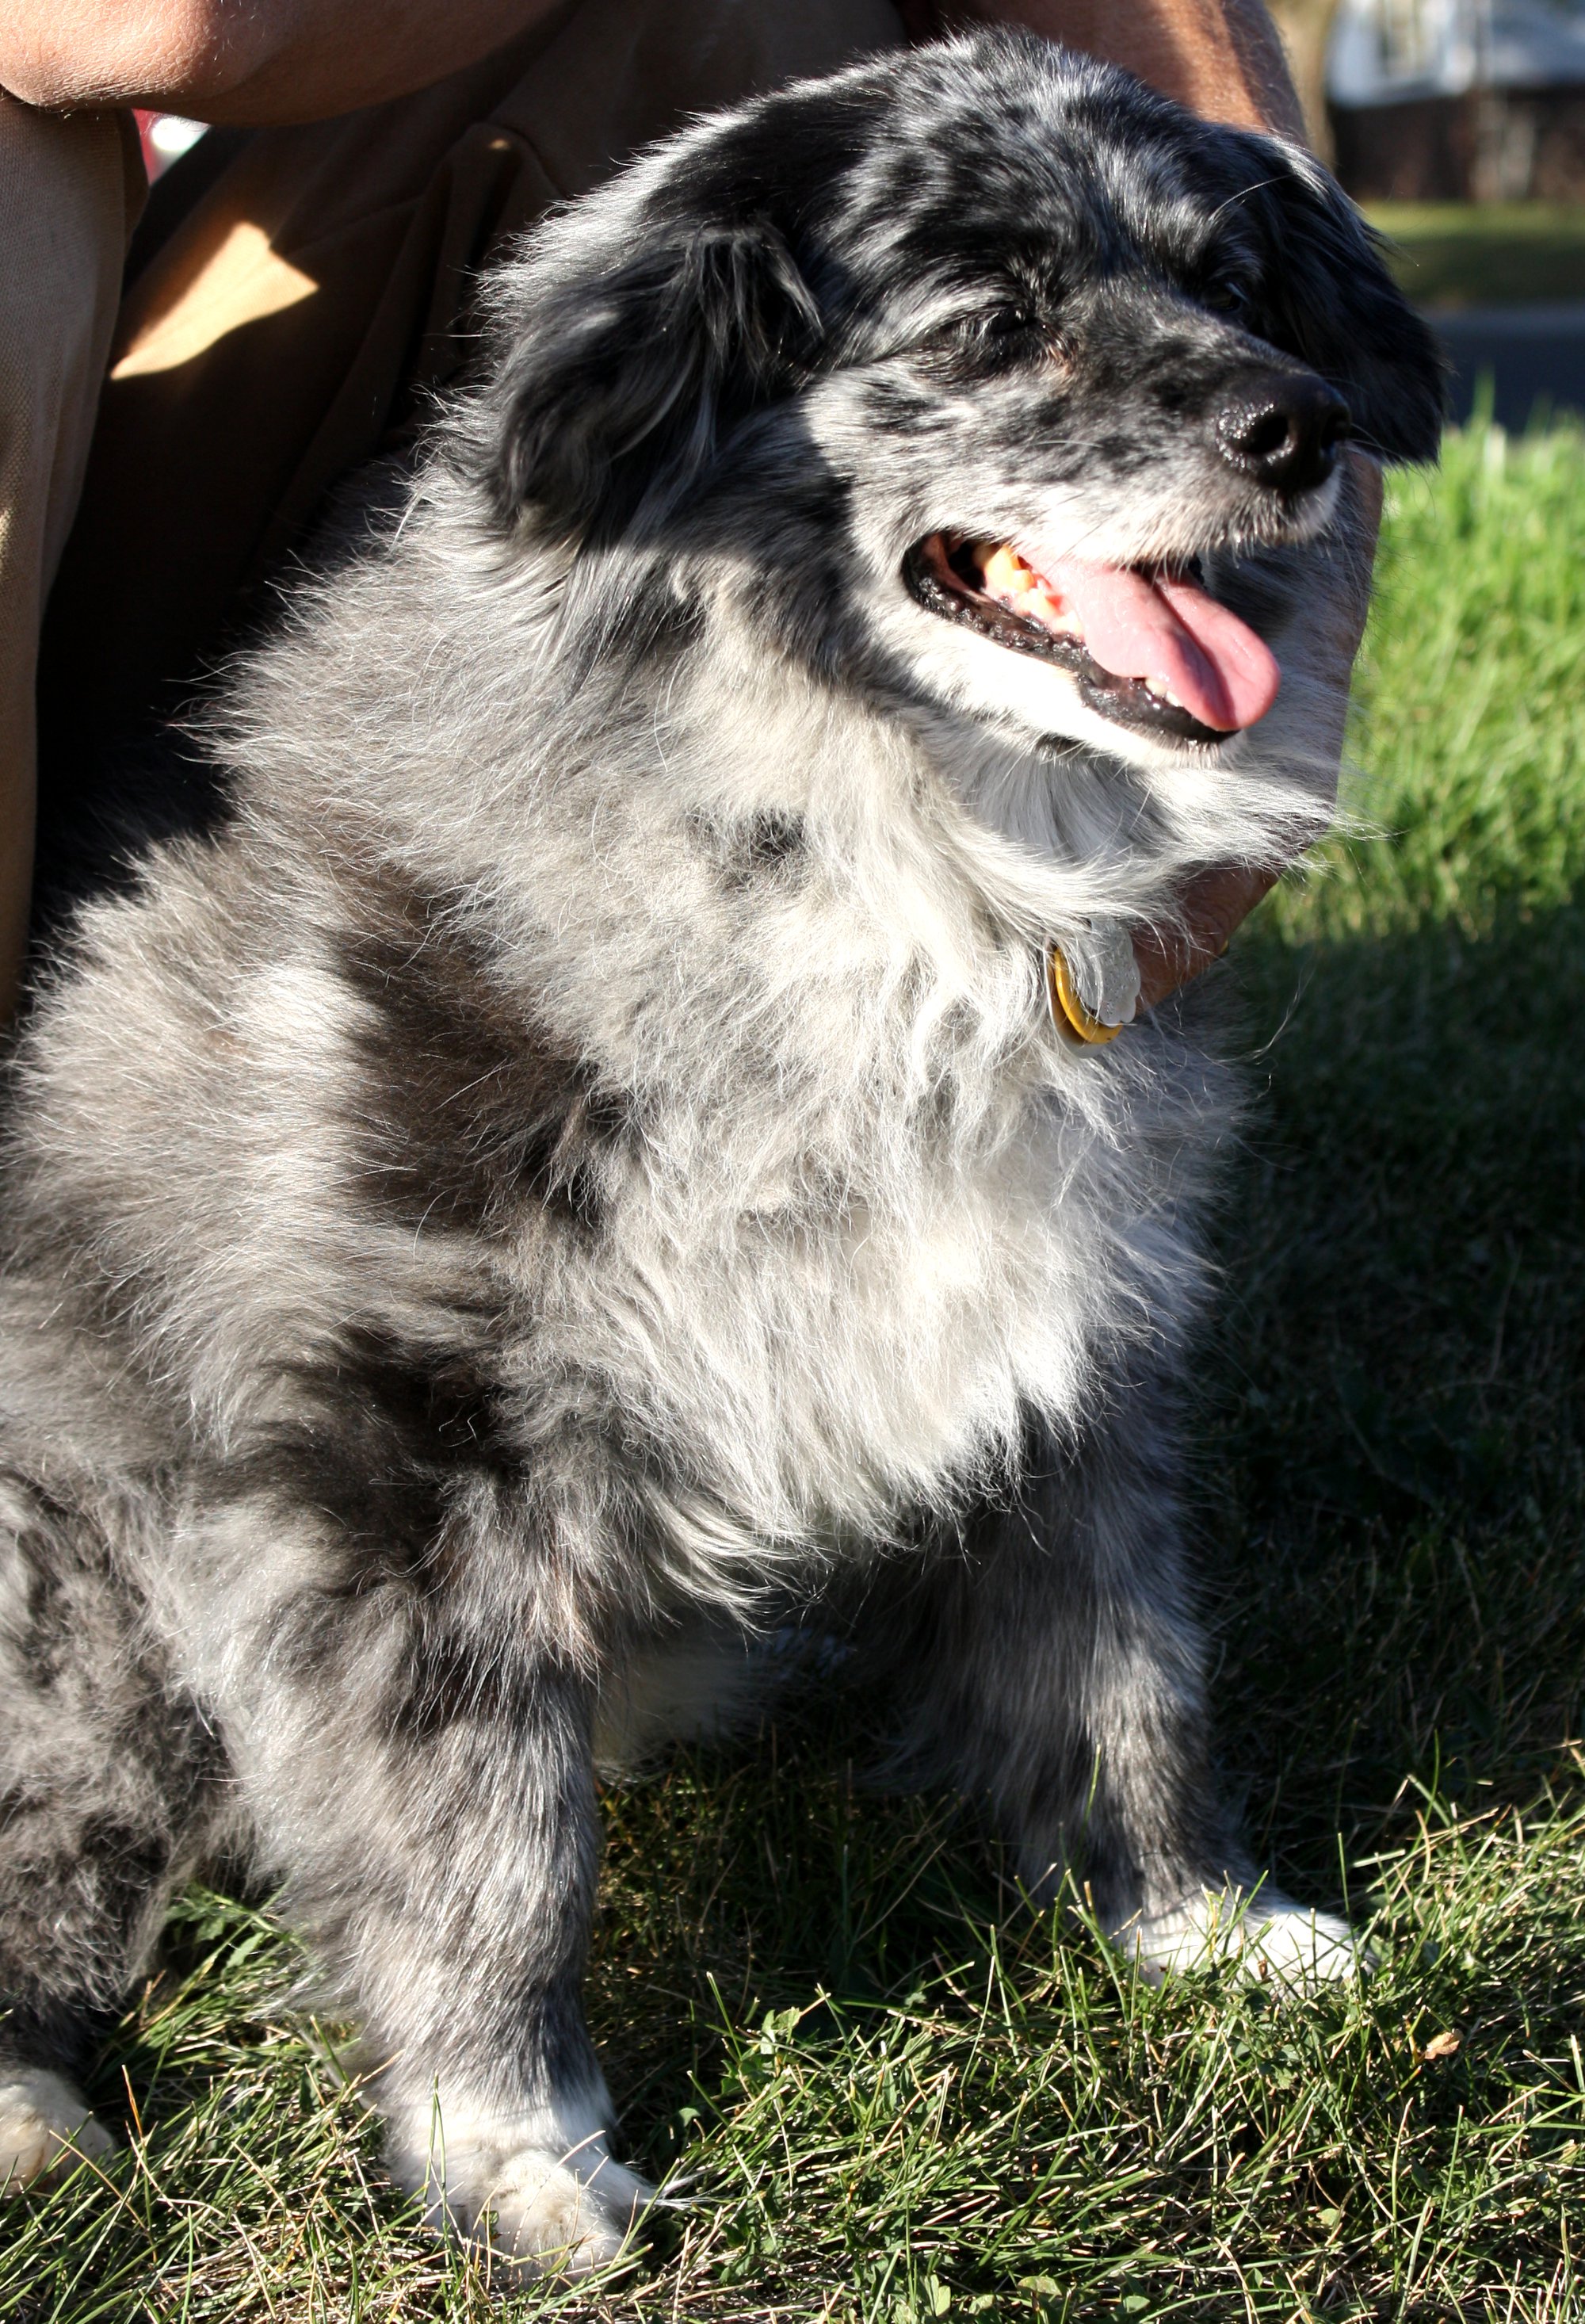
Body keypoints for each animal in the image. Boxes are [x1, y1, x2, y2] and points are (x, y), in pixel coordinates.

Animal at [0, 36, 1431, 2277]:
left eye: (1232, 286)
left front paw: (1196, 1922)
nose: (1295, 428)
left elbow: (1122, 1666)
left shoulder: (1063, 1350)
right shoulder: (409, 1460)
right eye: (990, 321)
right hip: (92, 1604)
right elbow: (489, 1846)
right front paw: (516, 2153)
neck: (892, 841)